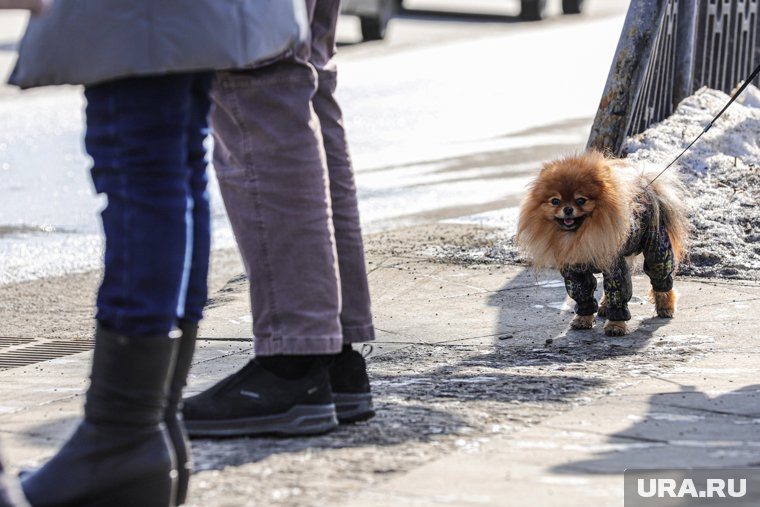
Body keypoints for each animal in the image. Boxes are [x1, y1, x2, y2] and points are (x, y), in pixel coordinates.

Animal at [516, 152, 688, 338]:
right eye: (555, 201)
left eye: (581, 200)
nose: (567, 209)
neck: (580, 235)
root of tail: (645, 185)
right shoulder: (576, 272)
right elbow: (583, 294)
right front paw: (583, 319)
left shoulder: (615, 265)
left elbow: (619, 295)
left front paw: (616, 325)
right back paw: (605, 306)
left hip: (656, 249)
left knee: (660, 278)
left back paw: (665, 306)